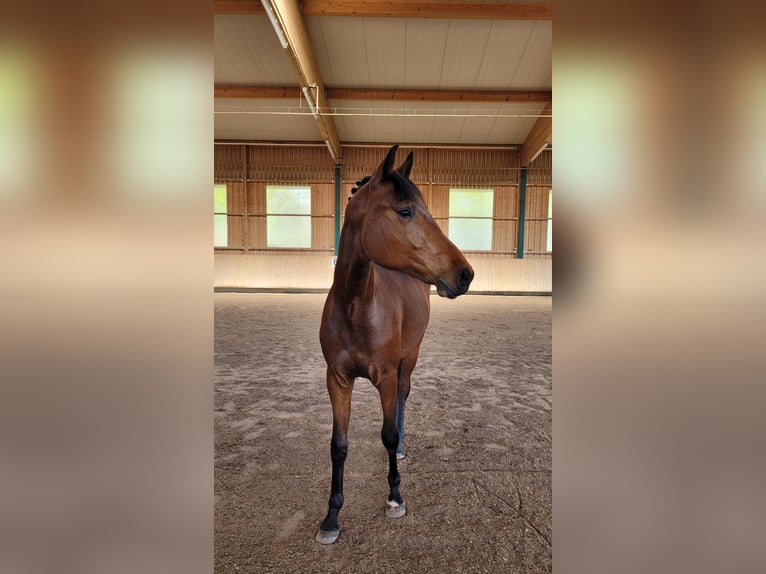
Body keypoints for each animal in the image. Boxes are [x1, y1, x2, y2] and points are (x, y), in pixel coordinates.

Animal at [316, 144, 474, 544]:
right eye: (405, 211)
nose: (465, 274)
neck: (356, 305)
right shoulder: (337, 379)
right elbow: (338, 446)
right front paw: (331, 517)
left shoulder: (385, 375)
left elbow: (387, 433)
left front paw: (395, 497)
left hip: (409, 358)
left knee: (404, 397)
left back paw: (402, 447)